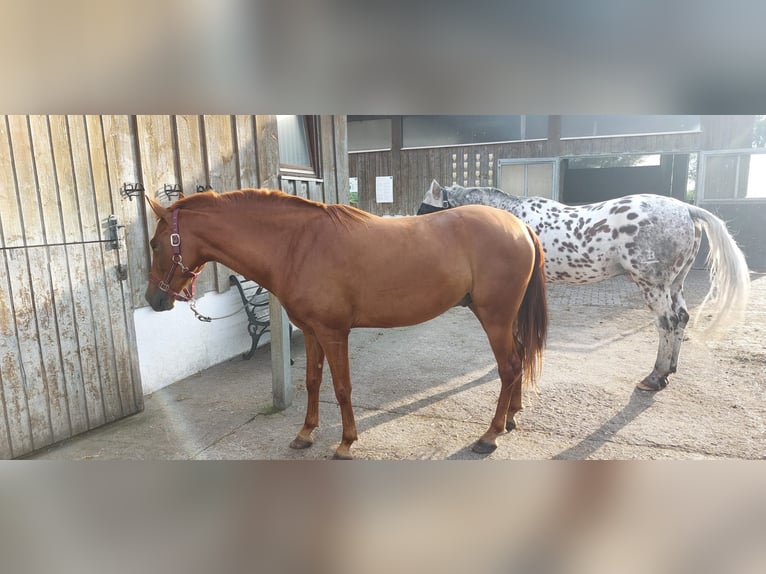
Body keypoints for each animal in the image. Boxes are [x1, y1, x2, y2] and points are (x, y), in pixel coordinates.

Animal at [146, 191, 544, 462]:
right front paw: (305, 433)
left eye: (154, 243)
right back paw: (511, 417)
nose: (154, 299)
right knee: (519, 357)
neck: (296, 246)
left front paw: (345, 443)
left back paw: (490, 436)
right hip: (505, 319)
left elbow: (341, 388)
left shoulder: (333, 332)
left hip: (494, 317)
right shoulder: (310, 332)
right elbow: (312, 381)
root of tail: (520, 226)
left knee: (509, 367)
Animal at [416, 182, 752, 394]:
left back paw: (655, 377)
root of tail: (685, 209)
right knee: (681, 318)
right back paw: (670, 370)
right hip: (675, 283)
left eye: (424, 210)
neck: (514, 223)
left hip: (653, 285)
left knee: (666, 323)